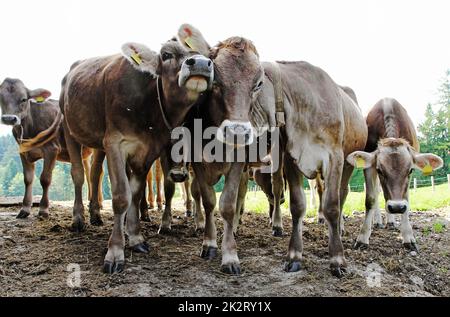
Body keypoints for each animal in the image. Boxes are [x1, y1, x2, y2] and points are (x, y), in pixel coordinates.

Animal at [0, 78, 94, 218]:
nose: (9, 118)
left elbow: (45, 179)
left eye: (23, 99)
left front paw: (43, 209)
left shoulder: (51, 149)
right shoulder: (23, 152)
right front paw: (25, 209)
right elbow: (27, 179)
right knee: (89, 172)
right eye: (0, 97)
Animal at [60, 39, 214, 272]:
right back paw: (78, 219)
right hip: (70, 130)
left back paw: (95, 214)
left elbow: (135, 192)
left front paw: (135, 238)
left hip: (98, 144)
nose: (201, 64)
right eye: (166, 54)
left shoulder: (149, 150)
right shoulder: (115, 143)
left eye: (208, 56)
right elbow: (121, 197)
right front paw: (115, 251)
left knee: (95, 172)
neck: (148, 108)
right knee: (78, 174)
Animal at [346, 97, 442, 251]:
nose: (396, 207)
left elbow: (406, 199)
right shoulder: (370, 167)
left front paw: (408, 237)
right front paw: (363, 237)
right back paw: (378, 221)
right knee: (378, 192)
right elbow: (370, 199)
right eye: (380, 170)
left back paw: (390, 222)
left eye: (410, 170)